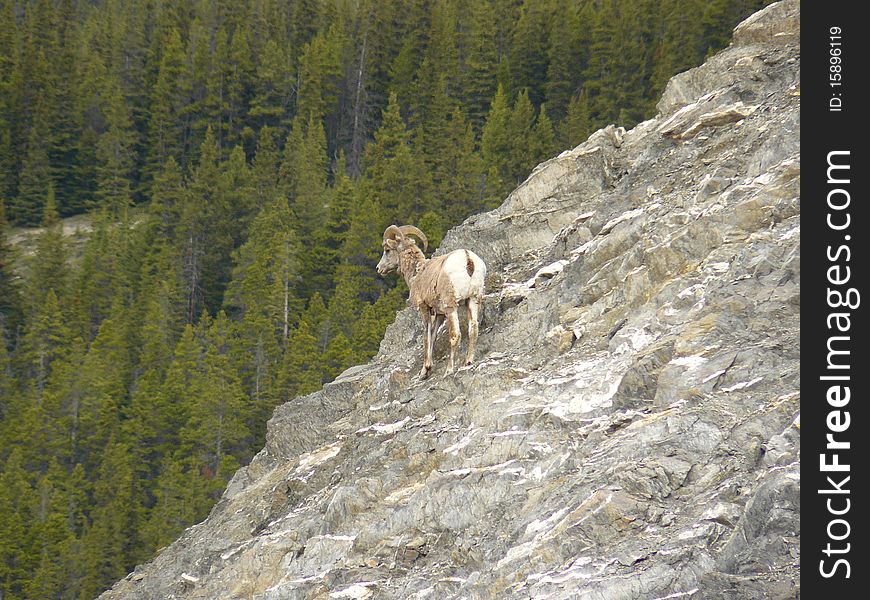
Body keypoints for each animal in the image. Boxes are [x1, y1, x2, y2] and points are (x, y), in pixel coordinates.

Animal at [376, 225, 488, 380]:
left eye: (387, 250)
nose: (379, 268)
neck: (417, 273)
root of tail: (468, 259)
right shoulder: (439, 314)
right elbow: (434, 335)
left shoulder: (424, 308)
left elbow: (426, 336)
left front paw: (425, 370)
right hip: (472, 300)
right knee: (473, 329)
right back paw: (468, 362)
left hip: (451, 306)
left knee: (455, 335)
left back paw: (448, 371)